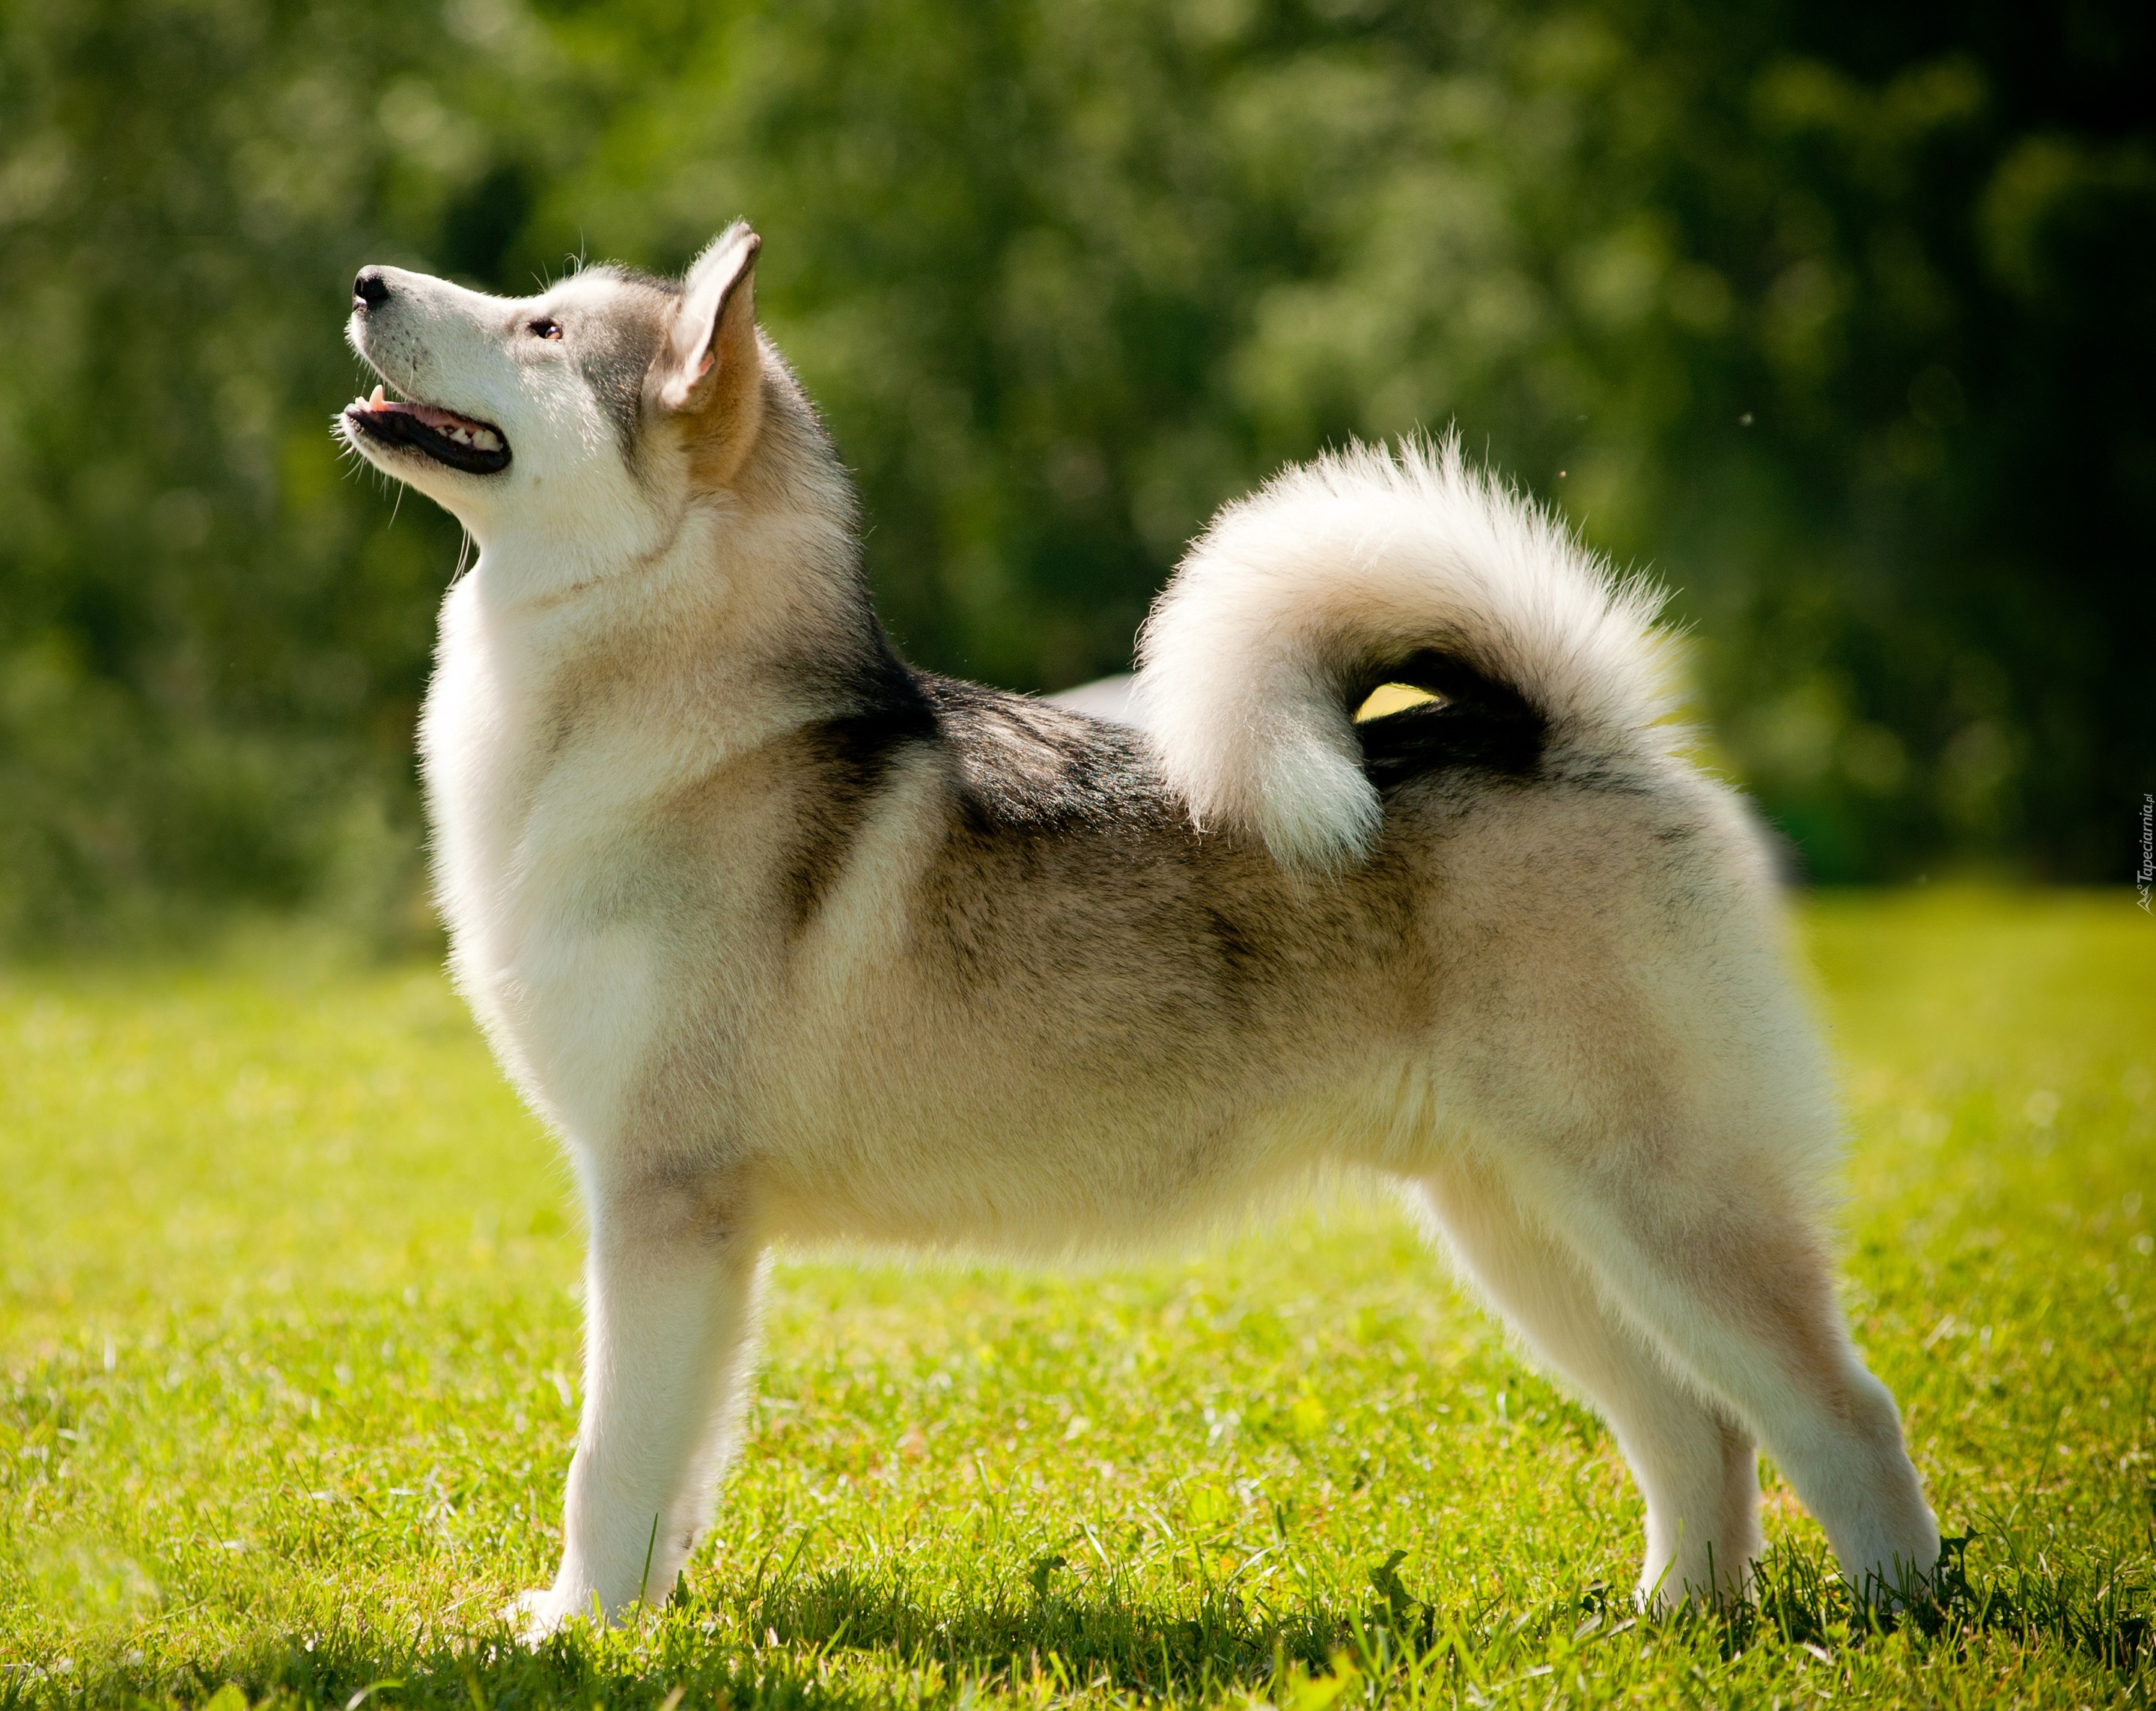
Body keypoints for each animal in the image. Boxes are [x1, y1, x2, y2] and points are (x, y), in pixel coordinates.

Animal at [336, 223, 1940, 1631]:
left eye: (542, 329)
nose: (363, 280)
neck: (657, 719)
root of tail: (1581, 740)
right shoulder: (683, 1228)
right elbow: (668, 1474)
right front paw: (625, 1617)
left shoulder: (666, 1205)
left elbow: (610, 1459)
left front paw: (578, 1630)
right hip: (1526, 1229)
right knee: (1700, 1427)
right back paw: (1677, 1619)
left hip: (1662, 1201)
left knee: (1841, 1409)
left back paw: (1899, 1612)